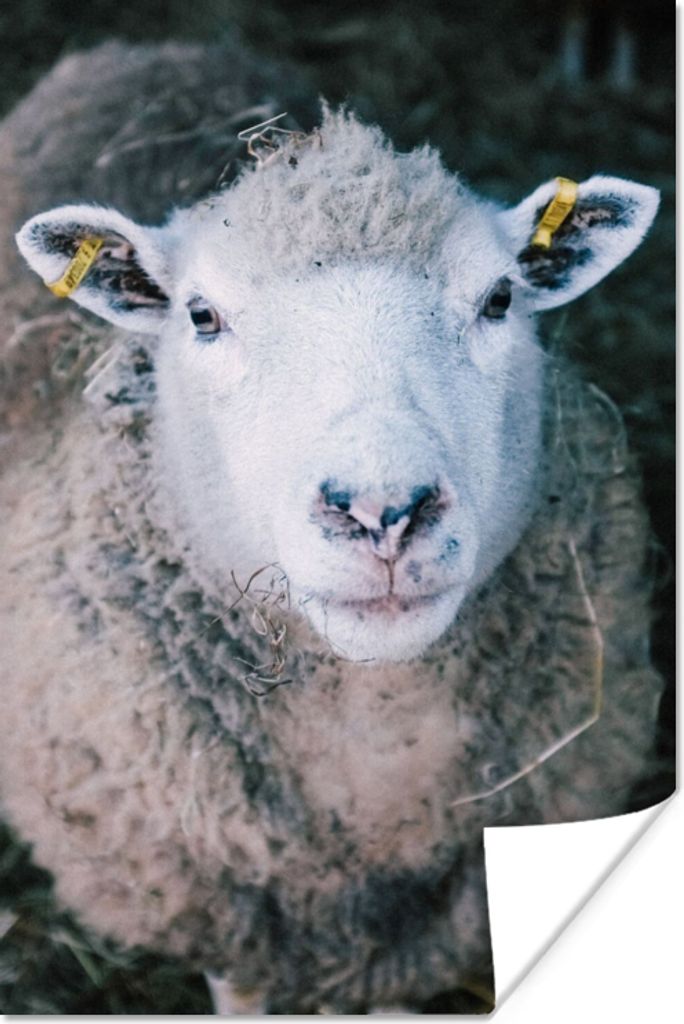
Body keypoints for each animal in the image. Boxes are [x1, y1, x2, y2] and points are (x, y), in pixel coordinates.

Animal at [0, 42, 664, 1014]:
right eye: (201, 316)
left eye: (499, 300)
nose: (382, 512)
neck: (373, 752)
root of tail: (144, 47)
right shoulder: (221, 905)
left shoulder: (423, 936)